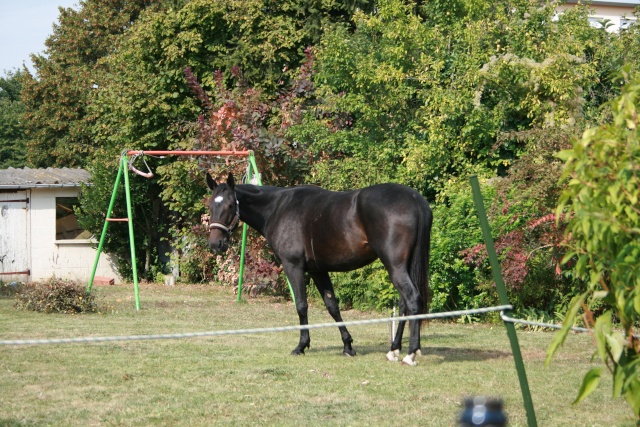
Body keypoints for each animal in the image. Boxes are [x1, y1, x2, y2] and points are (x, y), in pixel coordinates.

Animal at [208, 172, 432, 366]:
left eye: (230, 205)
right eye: (210, 205)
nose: (215, 244)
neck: (277, 208)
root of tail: (413, 197)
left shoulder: (294, 266)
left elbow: (301, 305)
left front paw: (301, 345)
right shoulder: (318, 270)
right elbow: (332, 306)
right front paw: (348, 346)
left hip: (395, 266)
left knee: (412, 299)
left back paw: (410, 353)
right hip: (403, 266)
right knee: (403, 304)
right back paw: (394, 349)